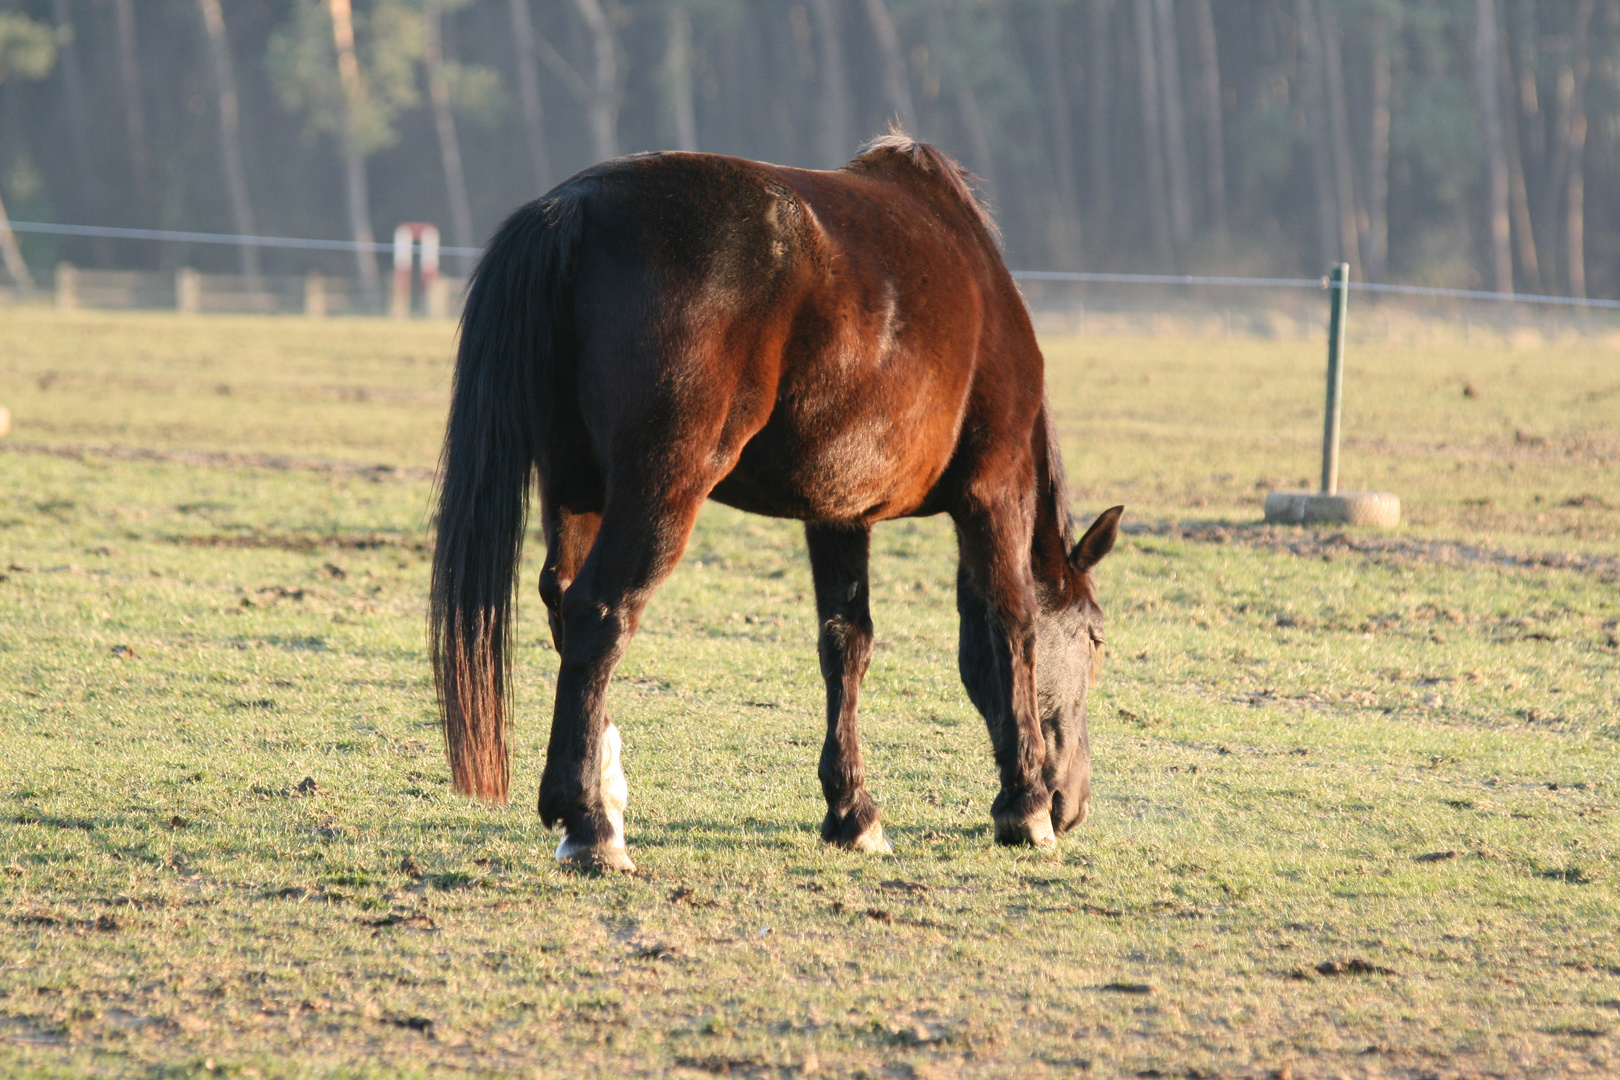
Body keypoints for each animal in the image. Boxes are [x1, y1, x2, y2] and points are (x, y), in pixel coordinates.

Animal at [424, 135, 1121, 874]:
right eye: (1096, 637)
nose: (1072, 804)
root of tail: (575, 206)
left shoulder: (841, 511)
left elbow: (847, 642)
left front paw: (853, 811)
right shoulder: (995, 490)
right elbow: (1011, 626)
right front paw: (1024, 805)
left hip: (576, 485)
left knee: (563, 604)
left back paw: (603, 795)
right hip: (662, 486)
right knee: (600, 612)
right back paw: (590, 824)